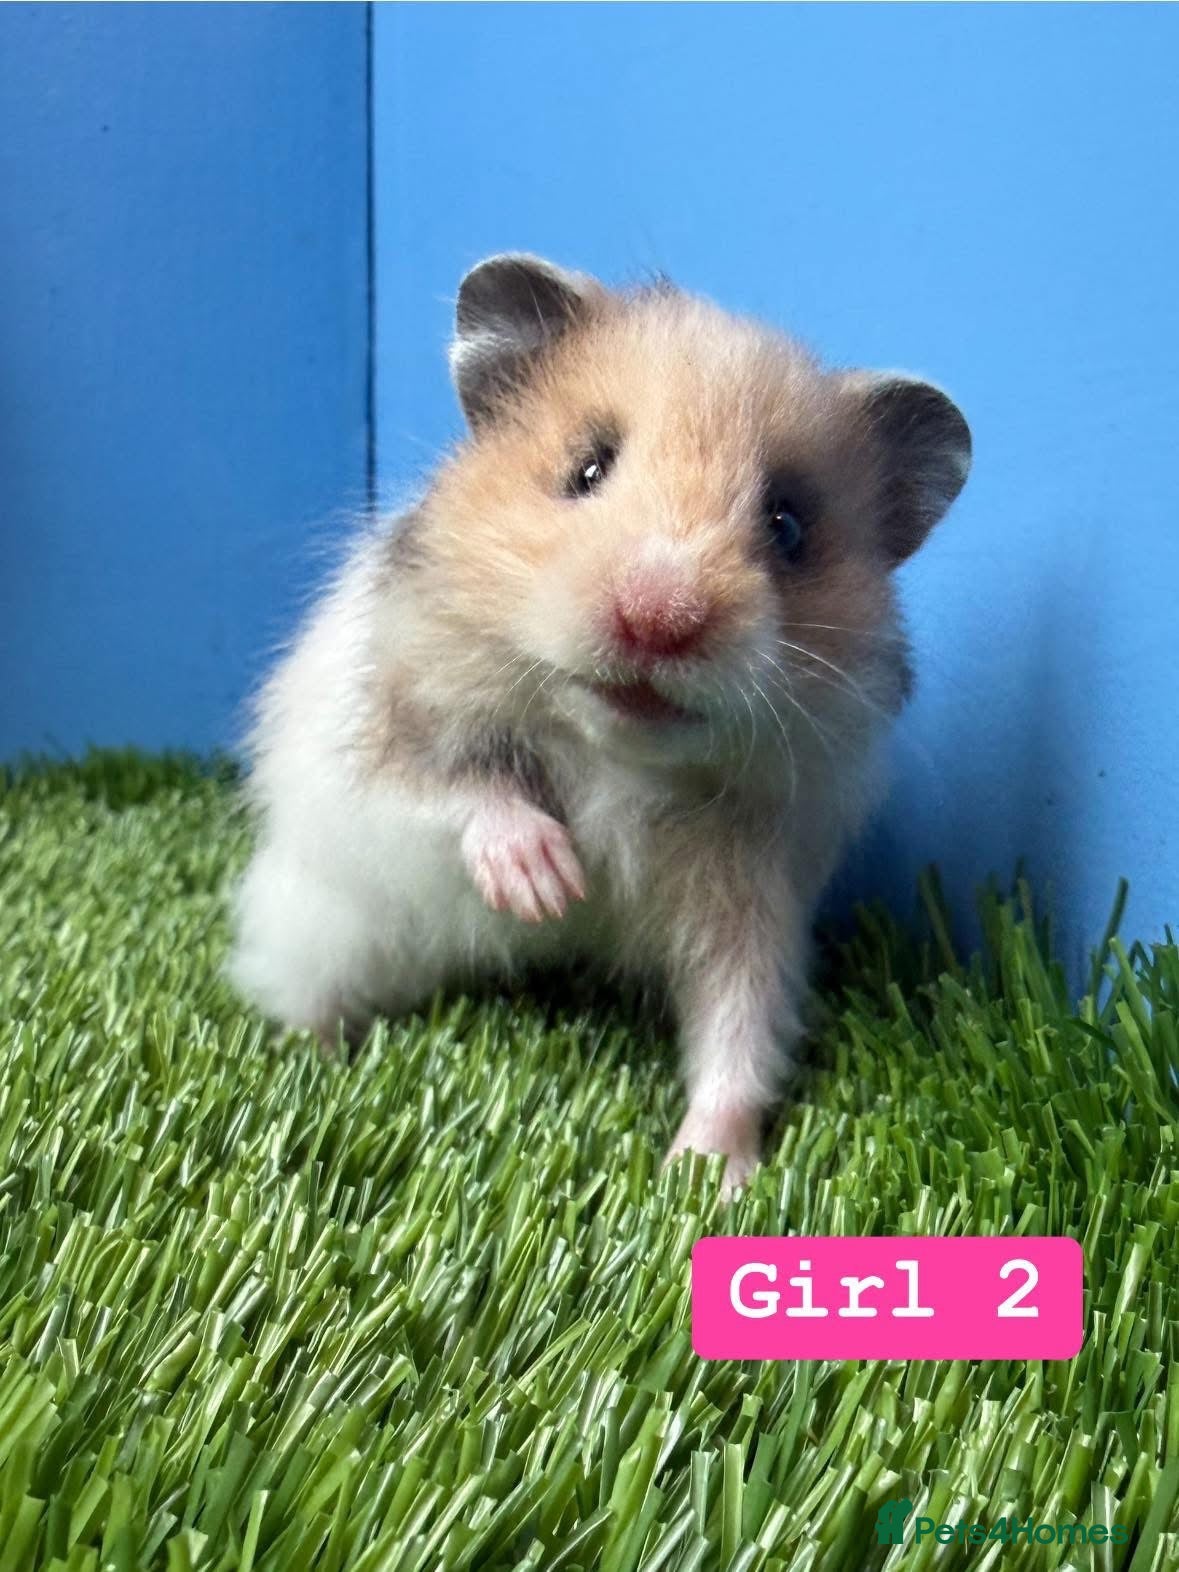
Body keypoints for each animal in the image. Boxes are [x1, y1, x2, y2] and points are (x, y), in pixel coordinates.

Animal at [229, 254, 970, 1190]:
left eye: (787, 525)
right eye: (586, 469)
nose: (660, 616)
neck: (616, 754)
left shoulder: (753, 900)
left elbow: (738, 1034)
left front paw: (707, 1179)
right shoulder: (377, 738)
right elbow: (453, 789)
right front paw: (547, 884)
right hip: (310, 917)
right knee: (299, 990)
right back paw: (319, 1066)